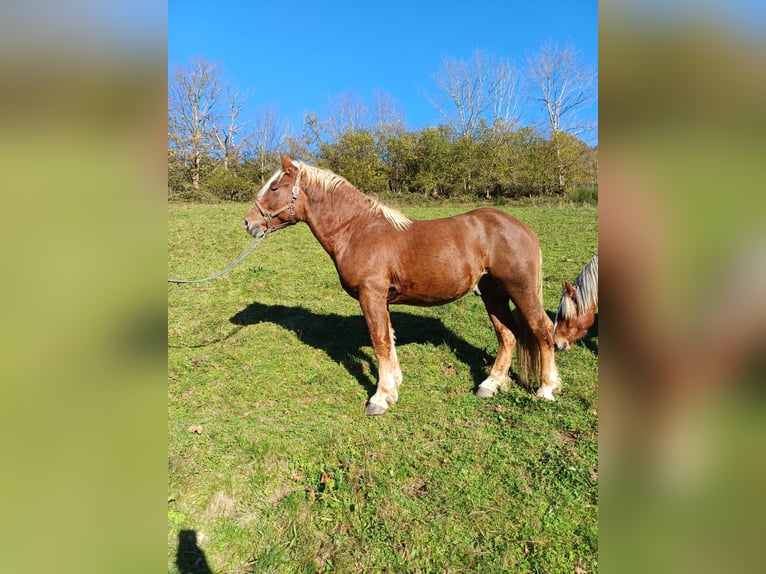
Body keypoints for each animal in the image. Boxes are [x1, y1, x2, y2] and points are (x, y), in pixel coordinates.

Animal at [246, 153, 564, 414]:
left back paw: (546, 388)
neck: (356, 230)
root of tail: (523, 229)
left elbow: (380, 342)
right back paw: (491, 384)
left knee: (542, 331)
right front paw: (394, 385)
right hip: (493, 293)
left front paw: (380, 397)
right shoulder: (380, 300)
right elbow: (389, 338)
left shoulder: (371, 296)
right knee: (508, 335)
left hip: (520, 290)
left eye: (274, 187)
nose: (249, 223)